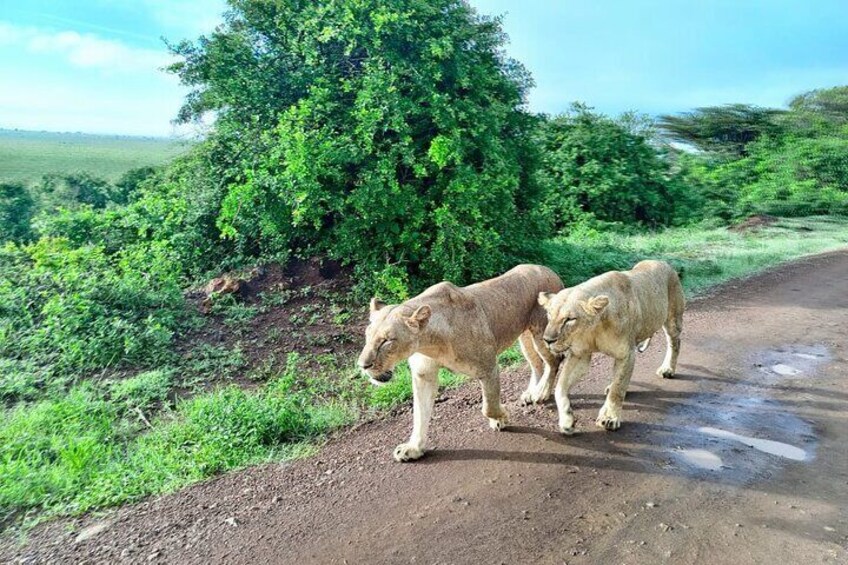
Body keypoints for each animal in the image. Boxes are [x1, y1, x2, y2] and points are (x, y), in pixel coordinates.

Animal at [356, 264, 564, 458]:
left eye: (386, 341)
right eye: (367, 335)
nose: (362, 365)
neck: (431, 344)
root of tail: (549, 269)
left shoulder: (489, 367)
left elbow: (488, 406)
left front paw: (502, 417)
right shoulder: (423, 375)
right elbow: (420, 414)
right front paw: (414, 448)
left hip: (542, 335)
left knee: (552, 363)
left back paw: (541, 393)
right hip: (524, 337)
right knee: (536, 364)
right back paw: (531, 392)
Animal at [540, 258, 684, 434]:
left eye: (569, 319)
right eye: (549, 315)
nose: (547, 339)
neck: (594, 329)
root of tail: (664, 262)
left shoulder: (626, 354)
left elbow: (618, 388)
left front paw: (609, 417)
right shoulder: (580, 355)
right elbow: (560, 387)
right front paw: (567, 420)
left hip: (672, 320)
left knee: (674, 343)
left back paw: (667, 369)